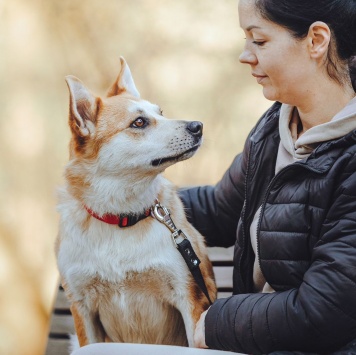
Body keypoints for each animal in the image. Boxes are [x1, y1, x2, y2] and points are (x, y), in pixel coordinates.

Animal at [55, 57, 217, 350]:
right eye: (139, 122)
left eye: (161, 112)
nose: (198, 126)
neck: (122, 216)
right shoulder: (81, 306)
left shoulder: (190, 296)